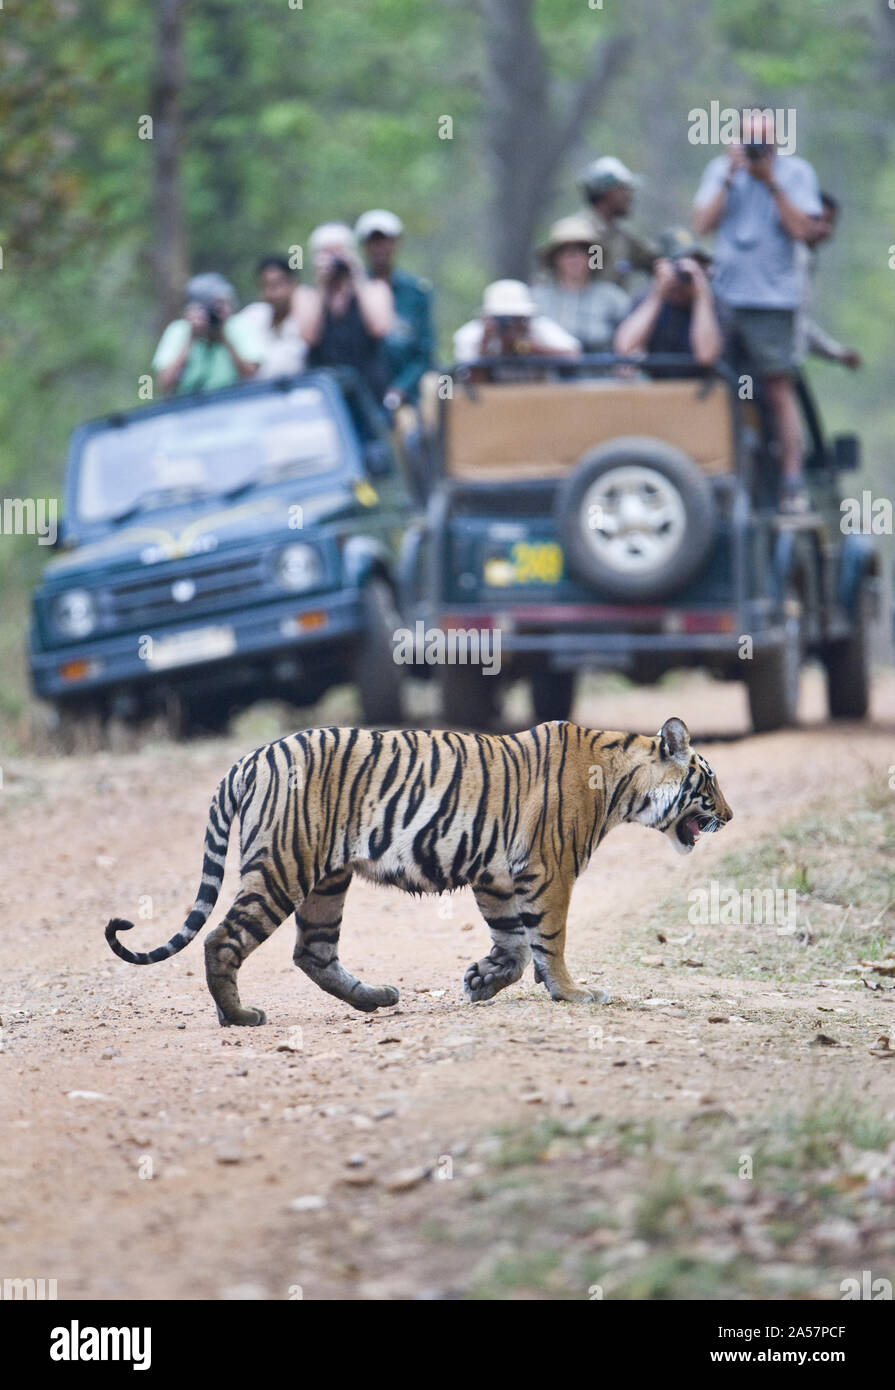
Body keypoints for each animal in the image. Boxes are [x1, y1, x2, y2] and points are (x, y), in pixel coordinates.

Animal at [104, 717, 733, 1023]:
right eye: (709, 782)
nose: (729, 816)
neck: (625, 782)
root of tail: (251, 758)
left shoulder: (497, 877)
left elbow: (514, 945)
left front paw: (480, 981)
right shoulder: (548, 871)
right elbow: (548, 941)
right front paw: (575, 994)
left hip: (326, 879)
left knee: (313, 951)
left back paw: (375, 999)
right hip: (284, 867)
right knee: (223, 940)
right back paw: (239, 1016)